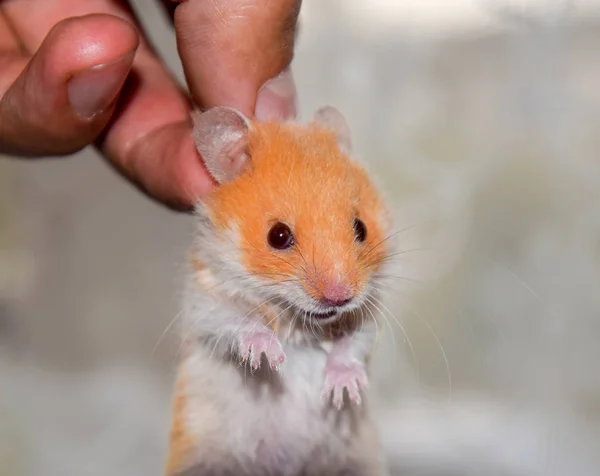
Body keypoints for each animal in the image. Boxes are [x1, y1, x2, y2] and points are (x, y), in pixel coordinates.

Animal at [166, 105, 396, 476]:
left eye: (361, 229)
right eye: (278, 236)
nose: (340, 297)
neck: (296, 317)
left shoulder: (366, 312)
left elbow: (354, 341)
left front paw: (343, 391)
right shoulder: (204, 298)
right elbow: (233, 320)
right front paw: (268, 357)